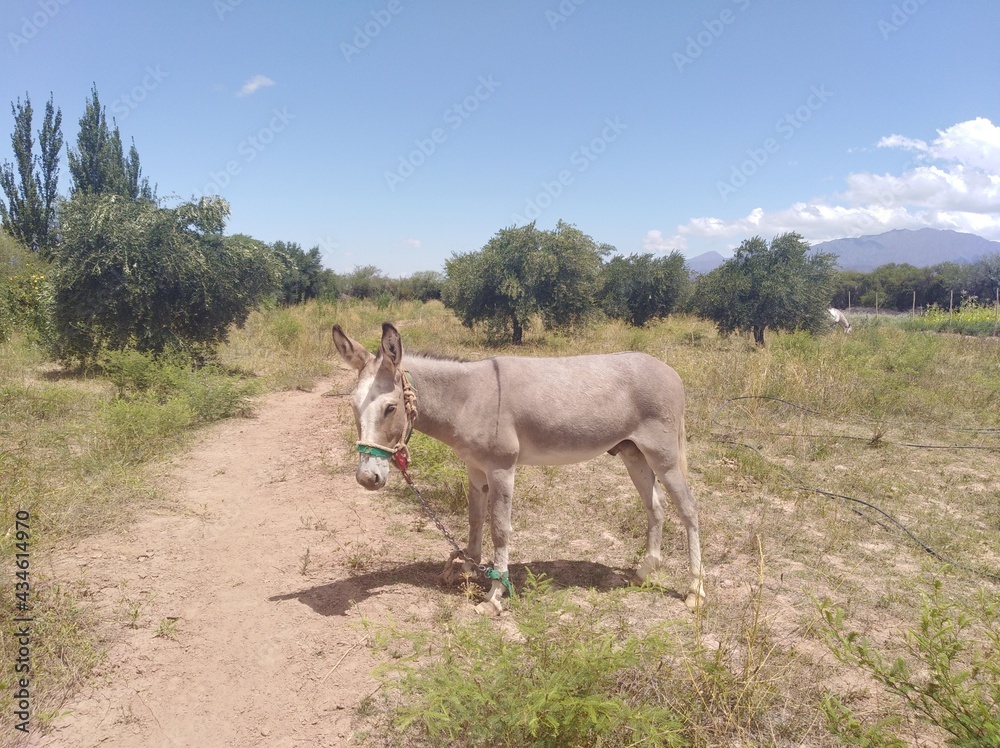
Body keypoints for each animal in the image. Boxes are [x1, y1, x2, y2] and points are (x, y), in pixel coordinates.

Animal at [332, 323, 705, 613]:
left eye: (390, 408)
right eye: (352, 405)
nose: (367, 478)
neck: (467, 398)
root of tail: (670, 371)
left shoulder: (501, 468)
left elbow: (499, 528)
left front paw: (495, 594)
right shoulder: (475, 470)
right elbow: (474, 519)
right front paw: (468, 566)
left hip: (663, 455)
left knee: (688, 509)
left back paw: (695, 591)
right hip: (633, 453)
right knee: (655, 506)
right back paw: (644, 572)